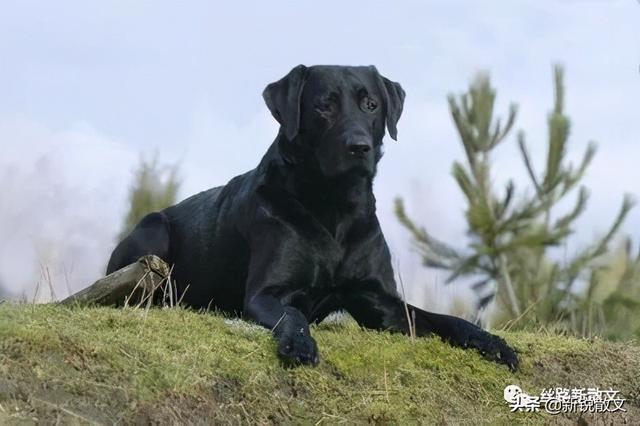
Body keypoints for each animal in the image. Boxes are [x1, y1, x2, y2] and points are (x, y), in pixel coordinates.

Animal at [109, 63, 520, 370]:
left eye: (371, 104)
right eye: (325, 105)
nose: (359, 147)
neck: (335, 207)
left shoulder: (378, 300)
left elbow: (442, 319)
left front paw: (491, 342)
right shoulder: (265, 293)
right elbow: (293, 316)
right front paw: (299, 344)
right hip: (154, 227)